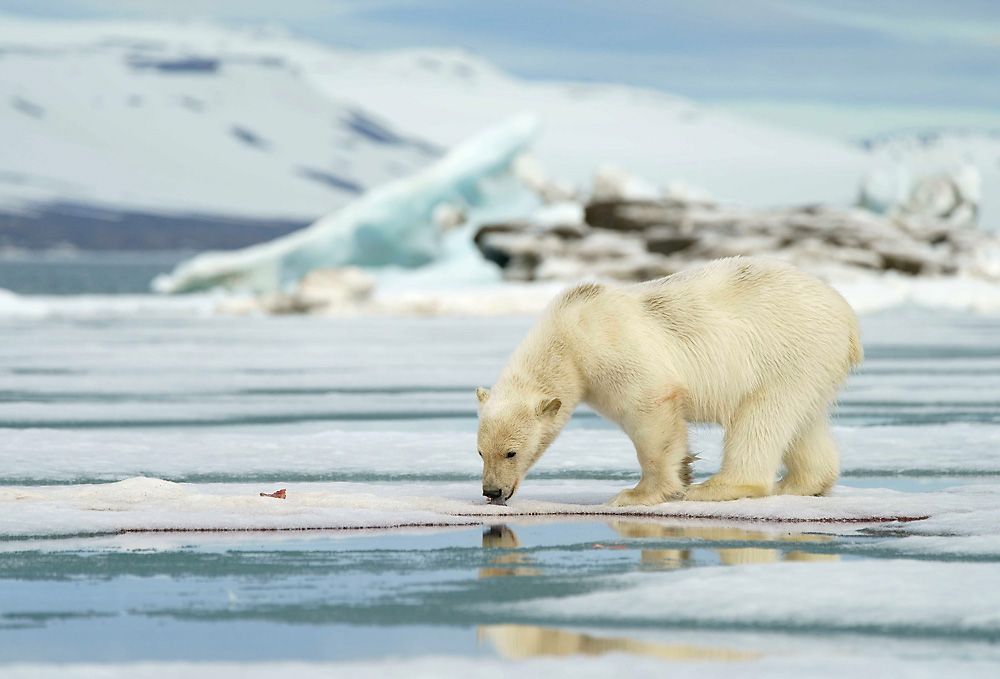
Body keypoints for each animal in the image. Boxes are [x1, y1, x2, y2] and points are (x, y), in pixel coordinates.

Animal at [474, 258, 860, 508]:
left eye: (511, 452)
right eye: (479, 451)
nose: (492, 492)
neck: (568, 337)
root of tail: (846, 314)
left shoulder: (613, 350)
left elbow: (649, 409)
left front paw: (637, 494)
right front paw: (685, 468)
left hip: (784, 349)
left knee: (761, 416)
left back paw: (718, 487)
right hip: (809, 363)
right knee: (803, 418)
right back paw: (799, 484)